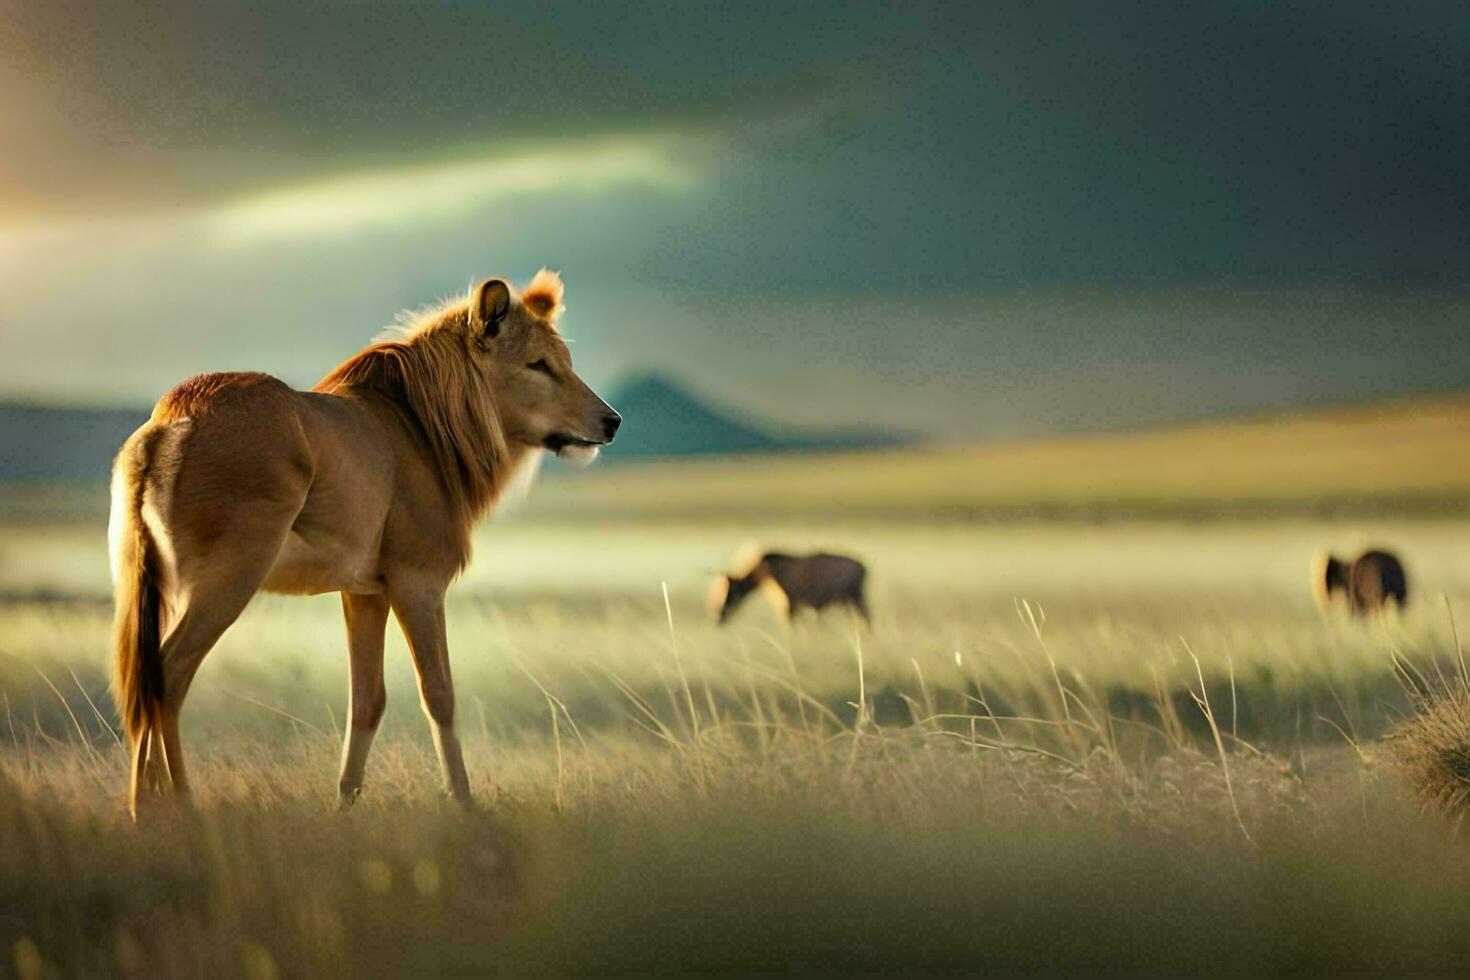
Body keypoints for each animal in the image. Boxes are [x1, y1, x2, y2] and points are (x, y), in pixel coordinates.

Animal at [110, 268, 620, 811]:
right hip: (229, 578)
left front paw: (346, 804)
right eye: (538, 365)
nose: (612, 421)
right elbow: (440, 693)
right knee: (167, 675)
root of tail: (171, 421)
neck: (427, 428)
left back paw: (142, 809)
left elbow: (368, 699)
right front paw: (464, 804)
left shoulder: (364, 592)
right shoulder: (418, 583)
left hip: (156, 583)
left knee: (144, 679)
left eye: (565, 362)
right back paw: (181, 806)